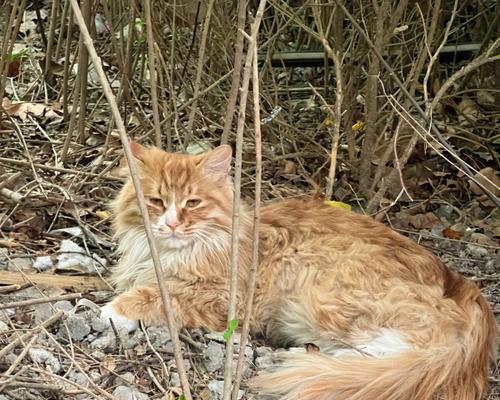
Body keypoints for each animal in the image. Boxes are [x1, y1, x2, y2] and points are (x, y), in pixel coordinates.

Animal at [100, 142, 496, 398]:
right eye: (155, 201)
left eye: (193, 202)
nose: (170, 225)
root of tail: (466, 289)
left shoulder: (223, 296)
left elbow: (155, 296)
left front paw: (112, 311)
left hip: (324, 296)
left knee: (394, 352)